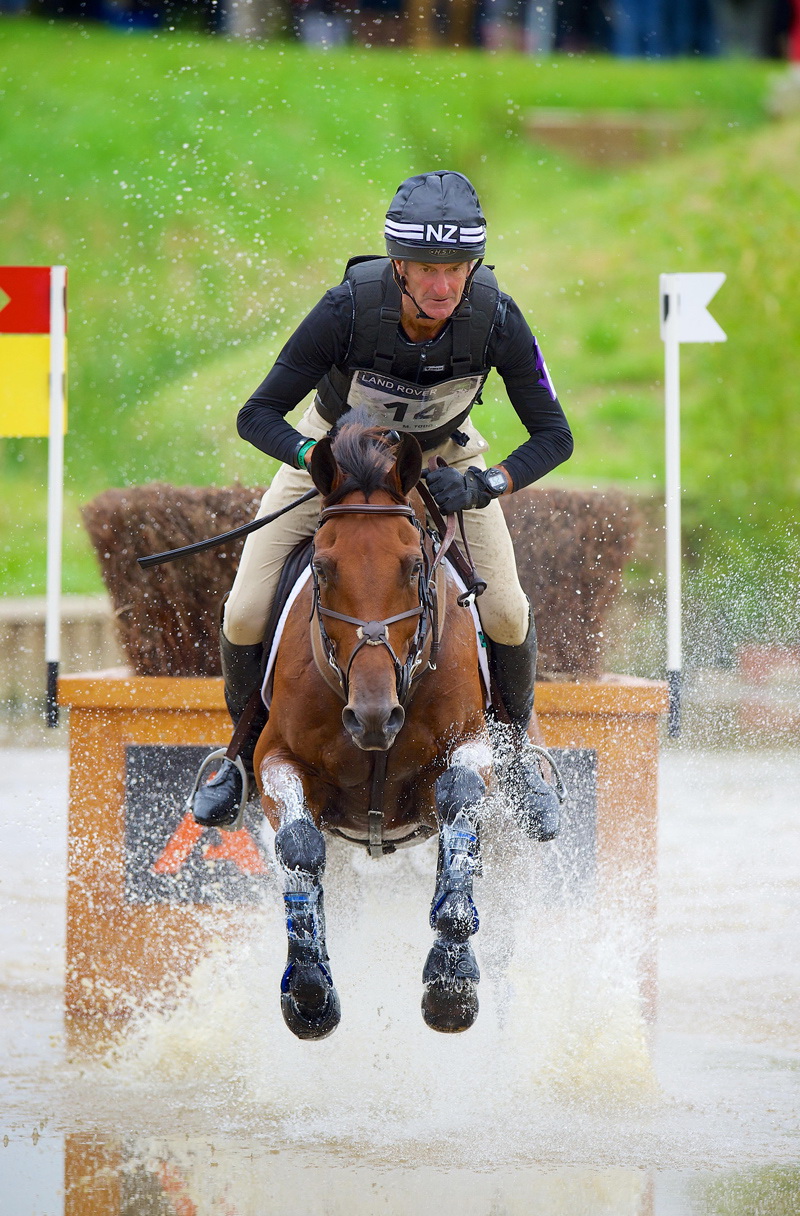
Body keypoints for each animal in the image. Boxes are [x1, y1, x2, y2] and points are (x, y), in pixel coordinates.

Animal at [253, 412, 496, 1040]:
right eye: (322, 567)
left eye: (413, 566)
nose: (373, 717)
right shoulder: (274, 757)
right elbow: (299, 845)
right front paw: (309, 992)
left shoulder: (472, 744)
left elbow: (460, 801)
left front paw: (451, 981)